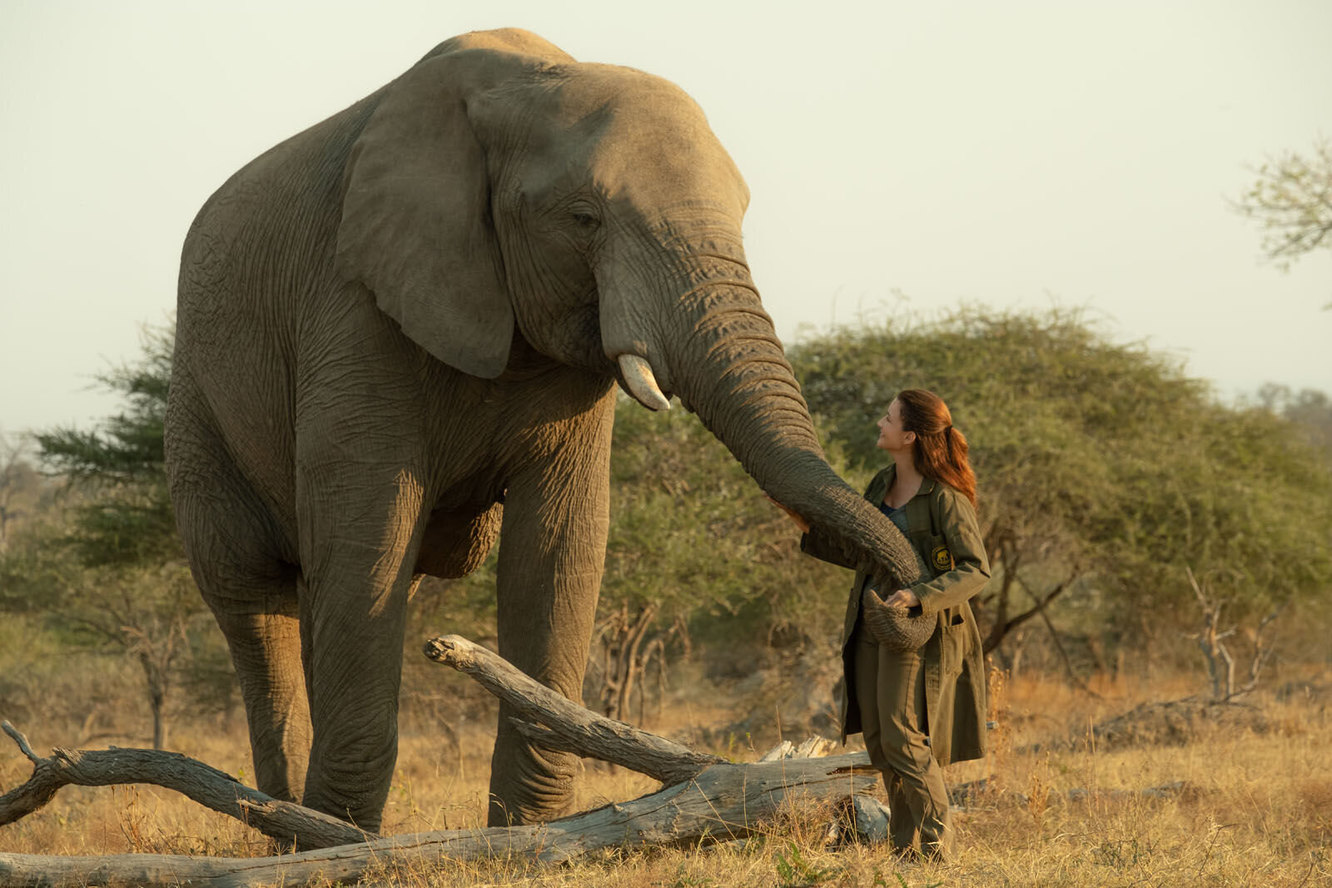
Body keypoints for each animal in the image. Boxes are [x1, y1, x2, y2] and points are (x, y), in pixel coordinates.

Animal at [163, 27, 916, 836]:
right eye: (584, 219)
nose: (899, 599)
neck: (523, 84)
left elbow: (559, 543)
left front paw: (525, 835)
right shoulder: (354, 302)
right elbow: (370, 537)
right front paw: (345, 841)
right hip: (197, 406)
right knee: (255, 598)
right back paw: (286, 831)